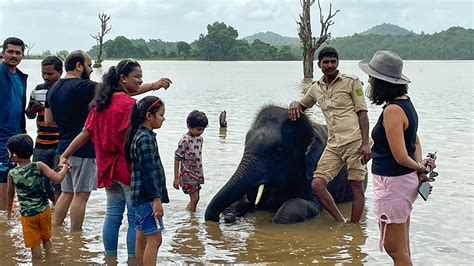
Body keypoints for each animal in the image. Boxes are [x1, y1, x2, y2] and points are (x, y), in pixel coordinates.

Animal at [204, 105, 362, 223]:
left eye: (278, 152)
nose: (225, 219)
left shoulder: (316, 164)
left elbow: (298, 206)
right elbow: (241, 201)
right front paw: (230, 214)